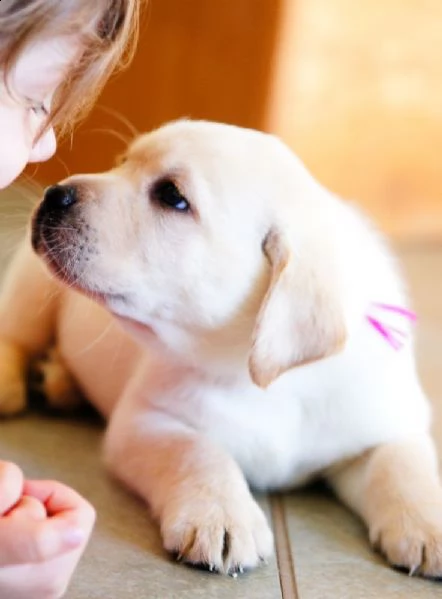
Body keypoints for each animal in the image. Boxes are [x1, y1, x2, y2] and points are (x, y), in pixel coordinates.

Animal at [0, 120, 442, 576]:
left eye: (173, 197)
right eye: (122, 162)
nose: (54, 194)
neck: (261, 379)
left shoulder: (387, 423)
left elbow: (405, 464)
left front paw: (429, 523)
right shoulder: (146, 420)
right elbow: (198, 451)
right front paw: (221, 517)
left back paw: (58, 380)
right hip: (33, 283)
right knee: (16, 331)